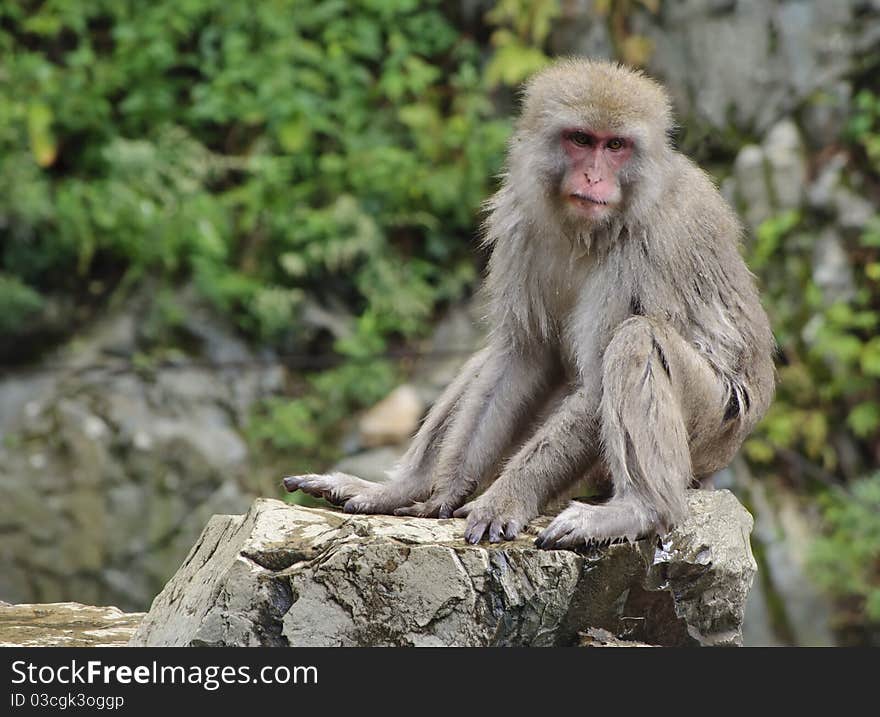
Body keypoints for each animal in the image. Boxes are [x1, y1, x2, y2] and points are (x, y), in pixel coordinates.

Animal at [284, 57, 776, 548]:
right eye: (581, 140)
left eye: (616, 145)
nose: (594, 177)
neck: (591, 230)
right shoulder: (520, 224)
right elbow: (524, 355)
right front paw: (443, 493)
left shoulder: (654, 245)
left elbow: (596, 385)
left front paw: (503, 500)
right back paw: (403, 487)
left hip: (715, 428)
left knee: (637, 339)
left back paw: (640, 510)